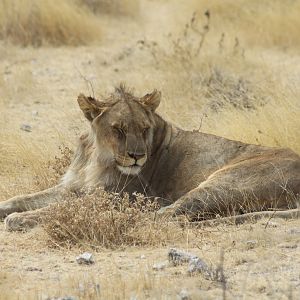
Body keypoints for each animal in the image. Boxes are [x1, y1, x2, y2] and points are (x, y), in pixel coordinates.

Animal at [0, 85, 300, 231]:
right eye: (119, 129)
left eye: (144, 129)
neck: (97, 156)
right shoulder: (73, 187)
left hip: (223, 182)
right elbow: (25, 197)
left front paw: (20, 219)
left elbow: (61, 209)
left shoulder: (112, 195)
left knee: (164, 215)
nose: (137, 157)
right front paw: (9, 208)